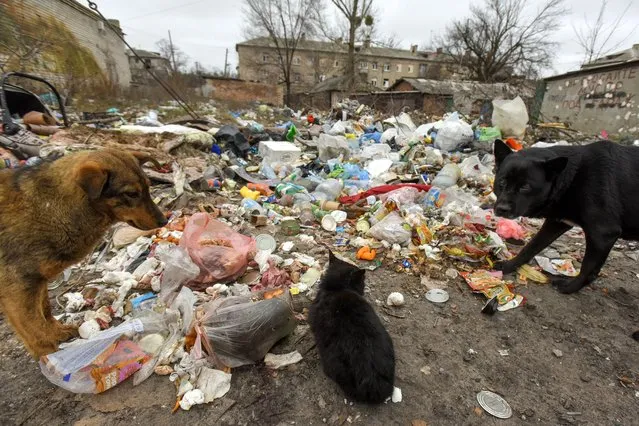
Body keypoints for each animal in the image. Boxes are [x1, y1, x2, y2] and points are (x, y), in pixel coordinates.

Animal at [0, 148, 168, 358]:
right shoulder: (17, 288)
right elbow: (36, 328)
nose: (164, 221)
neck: (51, 206)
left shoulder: (37, 280)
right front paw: (49, 356)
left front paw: (57, 333)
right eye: (131, 193)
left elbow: (45, 311)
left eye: (148, 187)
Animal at [496, 138, 639, 294]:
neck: (574, 178)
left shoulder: (603, 234)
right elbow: (531, 247)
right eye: (502, 181)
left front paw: (570, 288)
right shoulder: (556, 223)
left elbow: (588, 267)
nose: (501, 209)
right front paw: (510, 265)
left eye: (525, 187)